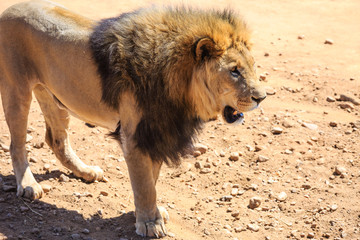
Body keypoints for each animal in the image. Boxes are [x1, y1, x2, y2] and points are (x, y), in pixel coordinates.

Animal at [0, 0, 264, 238]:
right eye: (234, 71)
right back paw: (29, 185)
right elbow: (144, 184)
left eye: (252, 66)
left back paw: (86, 172)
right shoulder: (136, 135)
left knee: (57, 140)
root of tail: (10, 9)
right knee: (17, 144)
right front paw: (149, 224)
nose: (261, 97)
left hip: (54, 96)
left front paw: (146, 214)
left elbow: (151, 180)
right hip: (16, 90)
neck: (180, 86)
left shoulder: (156, 132)